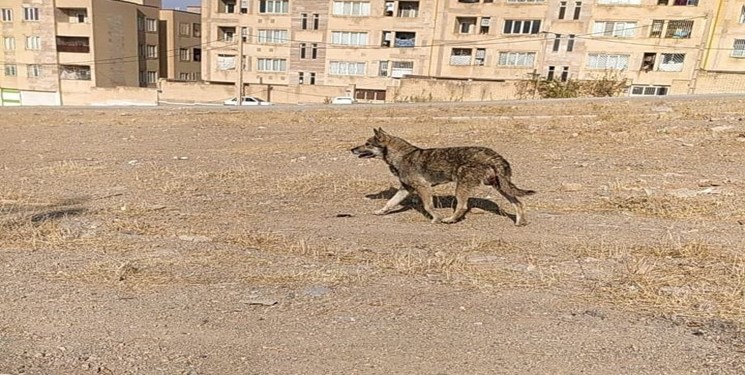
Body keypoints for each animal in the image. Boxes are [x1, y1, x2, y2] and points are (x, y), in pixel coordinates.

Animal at [350, 128, 536, 225]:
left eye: (367, 144)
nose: (352, 149)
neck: (402, 155)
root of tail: (494, 155)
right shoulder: (406, 189)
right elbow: (390, 203)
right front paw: (381, 211)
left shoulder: (423, 187)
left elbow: (428, 206)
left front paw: (437, 219)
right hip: (501, 186)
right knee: (518, 202)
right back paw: (520, 221)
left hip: (462, 186)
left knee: (462, 206)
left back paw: (449, 219)